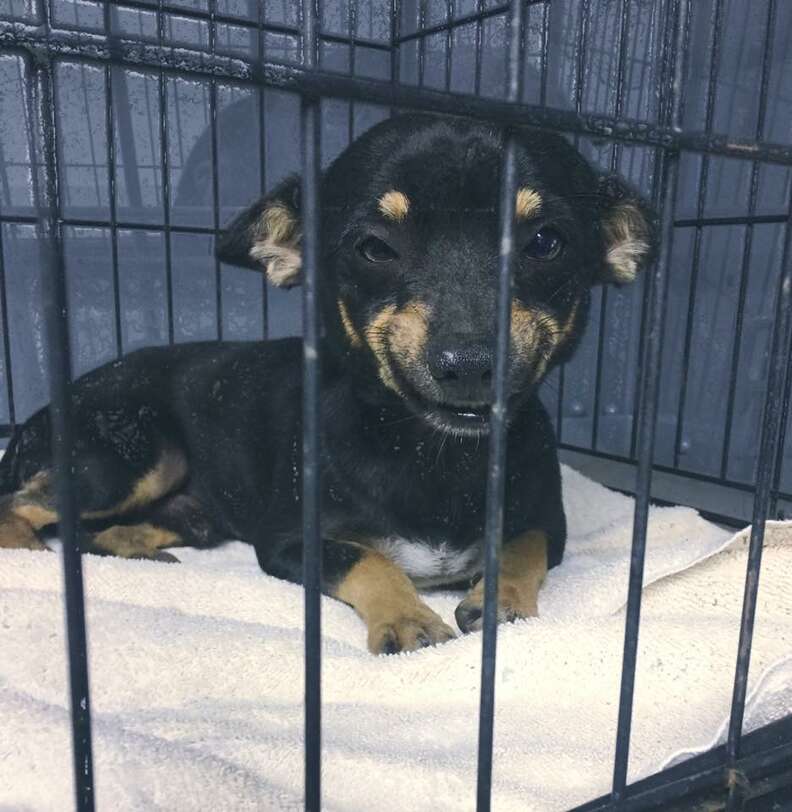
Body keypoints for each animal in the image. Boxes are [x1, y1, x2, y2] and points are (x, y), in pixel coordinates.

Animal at [0, 114, 652, 652]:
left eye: (545, 242)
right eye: (375, 249)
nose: (468, 361)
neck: (433, 452)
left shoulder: (546, 526)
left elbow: (521, 548)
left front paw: (503, 603)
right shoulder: (290, 543)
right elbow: (369, 562)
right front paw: (408, 620)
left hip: (180, 507)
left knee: (92, 532)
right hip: (130, 456)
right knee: (22, 504)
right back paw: (28, 553)